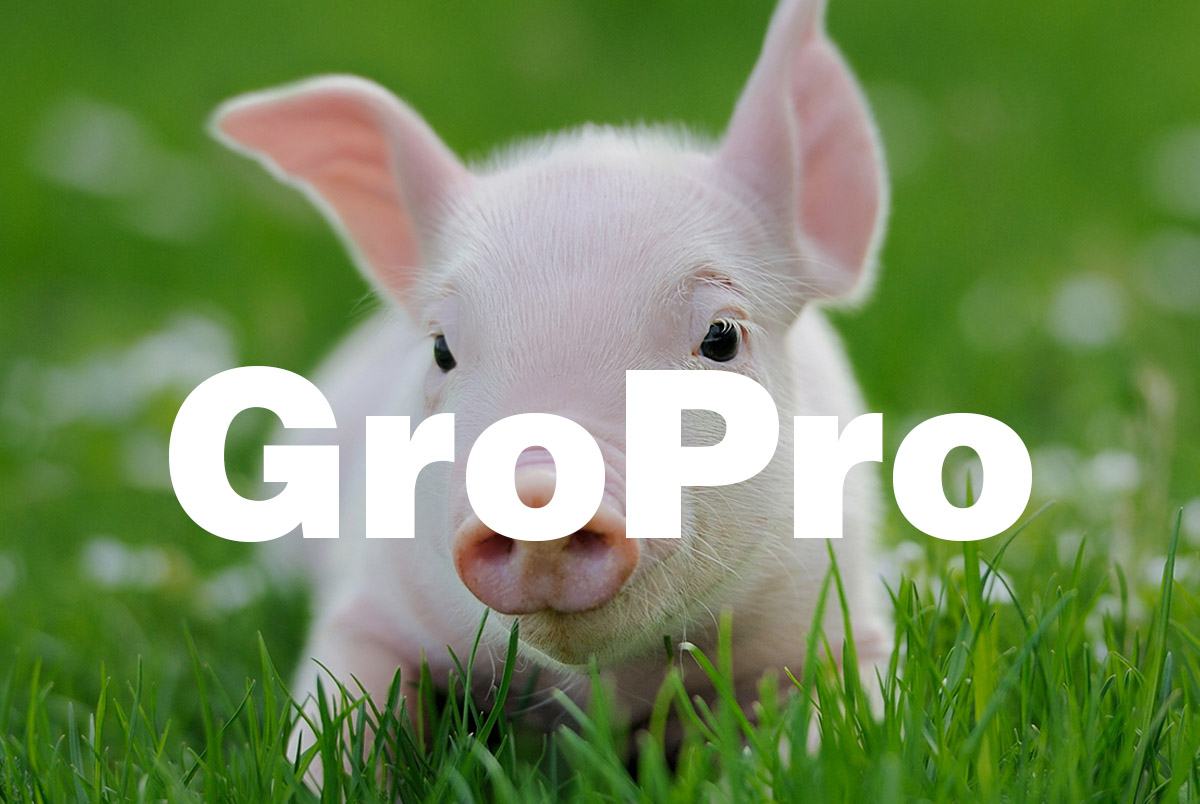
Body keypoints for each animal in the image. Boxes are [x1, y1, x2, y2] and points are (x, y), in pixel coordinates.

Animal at [212, 0, 890, 761]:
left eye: (722, 337)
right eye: (442, 349)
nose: (537, 489)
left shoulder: (840, 615)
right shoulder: (371, 599)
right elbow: (339, 716)